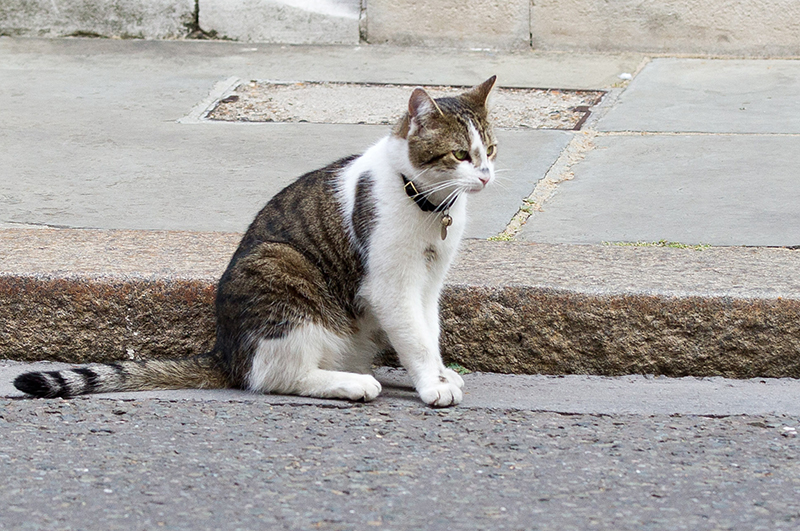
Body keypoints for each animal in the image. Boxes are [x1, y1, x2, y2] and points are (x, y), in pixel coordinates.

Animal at [12, 76, 496, 408]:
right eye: (460, 154)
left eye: (490, 149)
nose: (487, 175)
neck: (427, 205)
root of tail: (225, 352)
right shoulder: (392, 286)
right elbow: (415, 339)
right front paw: (432, 386)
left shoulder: (429, 283)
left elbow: (429, 332)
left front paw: (439, 375)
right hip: (282, 273)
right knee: (273, 376)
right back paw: (353, 383)